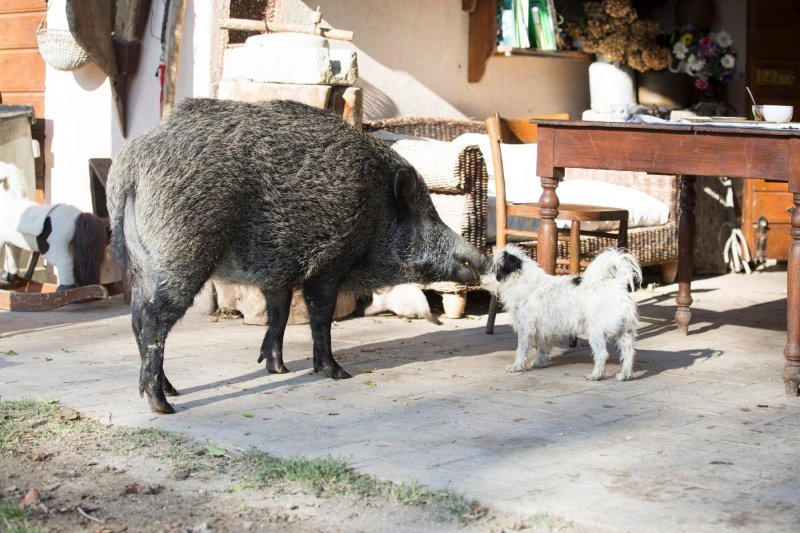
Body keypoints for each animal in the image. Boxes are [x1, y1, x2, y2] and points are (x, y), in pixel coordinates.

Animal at [482, 243, 644, 380]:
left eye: (493, 268)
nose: (481, 279)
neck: (522, 282)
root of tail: (617, 285)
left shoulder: (526, 329)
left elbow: (521, 350)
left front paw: (517, 366)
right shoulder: (547, 331)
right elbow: (543, 348)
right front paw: (539, 362)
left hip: (596, 331)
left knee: (602, 354)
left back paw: (595, 375)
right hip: (625, 331)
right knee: (629, 353)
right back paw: (625, 375)